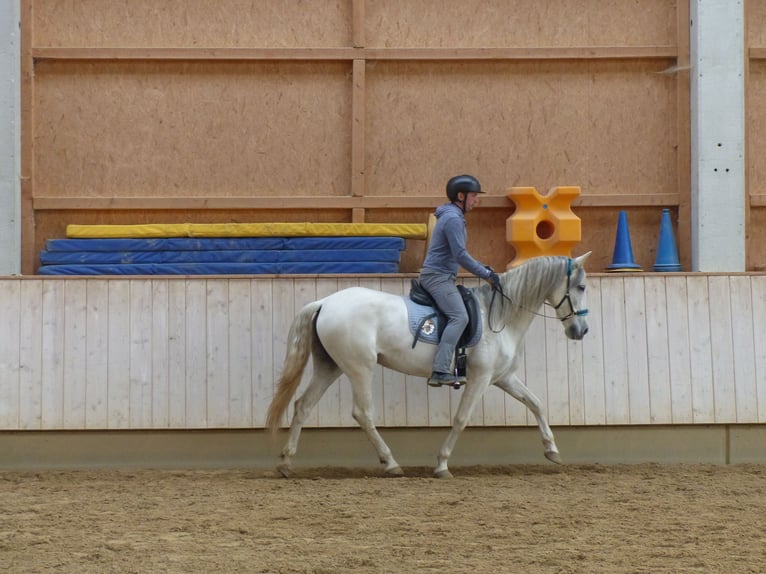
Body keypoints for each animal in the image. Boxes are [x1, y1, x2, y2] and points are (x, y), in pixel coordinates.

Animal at [266, 252, 591, 478]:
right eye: (581, 287)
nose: (582, 331)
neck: (498, 317)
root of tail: (325, 302)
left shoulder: (503, 377)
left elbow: (536, 403)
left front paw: (552, 450)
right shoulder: (480, 378)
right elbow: (461, 419)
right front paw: (442, 464)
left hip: (330, 366)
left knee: (303, 405)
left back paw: (286, 463)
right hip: (359, 367)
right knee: (363, 413)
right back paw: (391, 463)